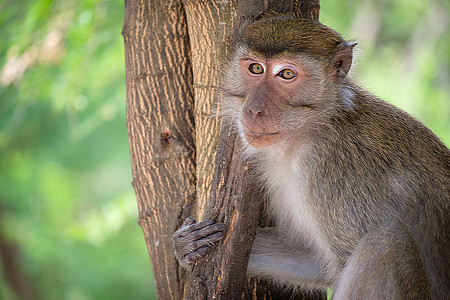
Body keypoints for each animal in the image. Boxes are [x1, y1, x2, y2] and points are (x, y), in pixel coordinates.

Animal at [173, 13, 450, 298]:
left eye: (286, 74)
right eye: (256, 69)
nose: (255, 109)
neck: (314, 127)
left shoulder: (330, 171)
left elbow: (341, 264)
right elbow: (316, 261)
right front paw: (186, 245)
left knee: (388, 243)